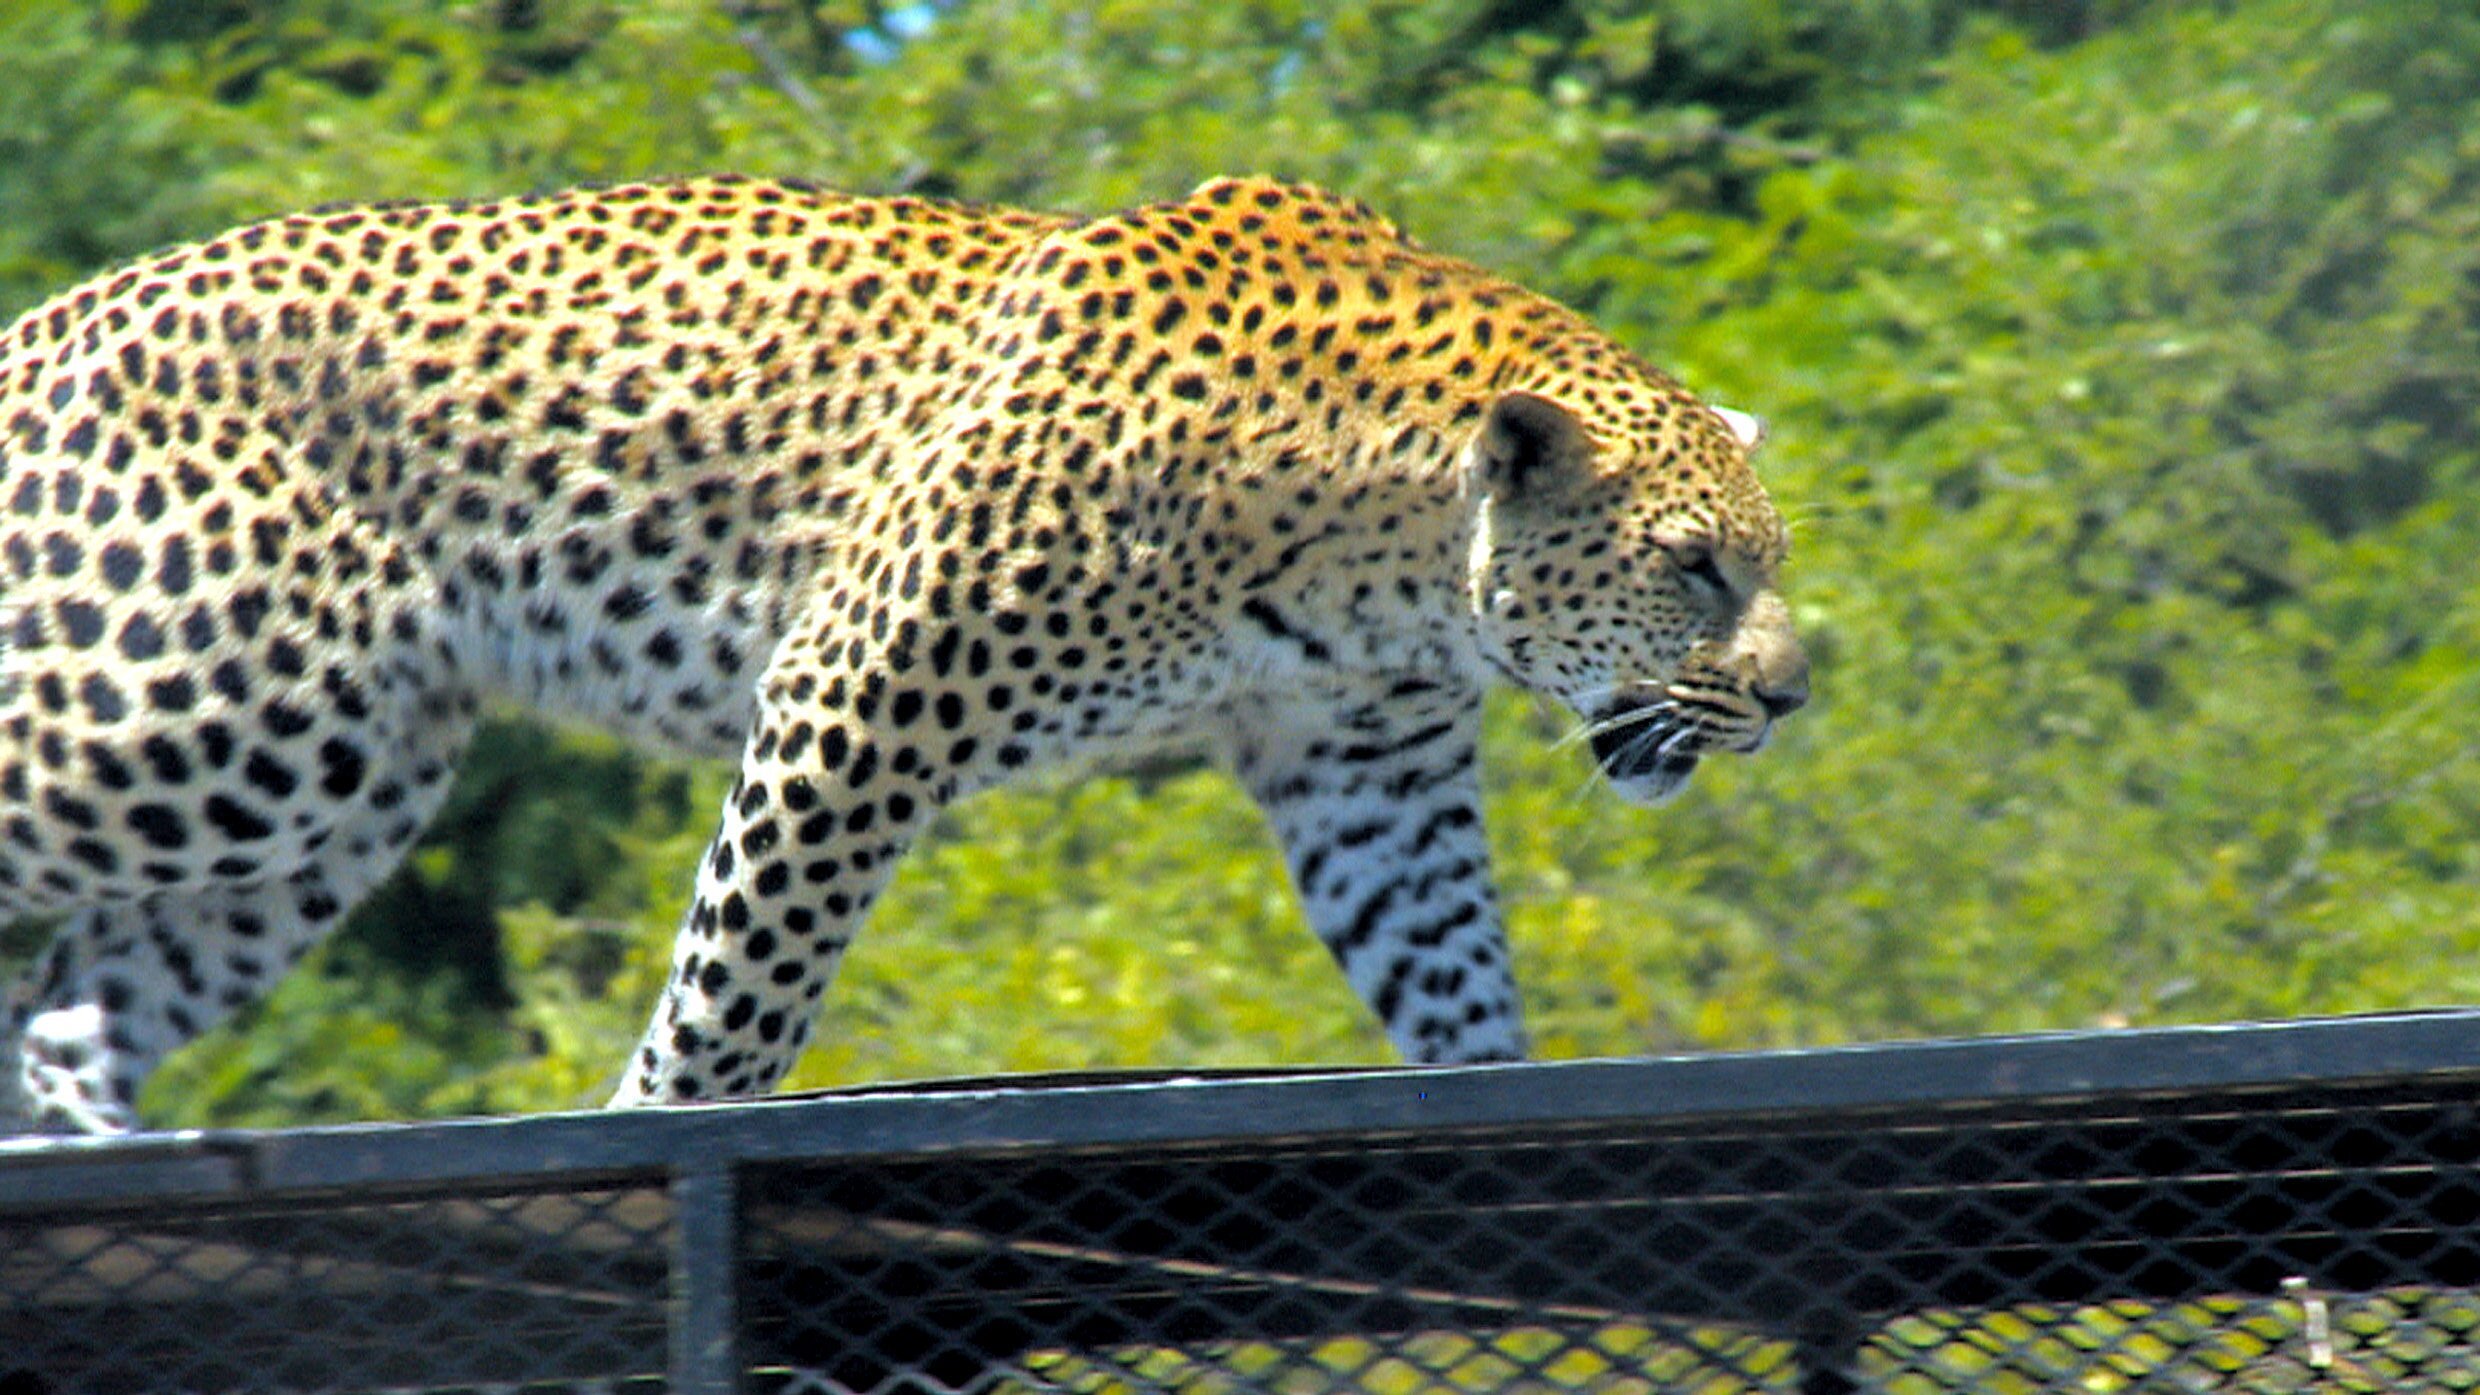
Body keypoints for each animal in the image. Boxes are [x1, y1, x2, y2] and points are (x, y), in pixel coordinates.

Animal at [0, 174, 1807, 1133]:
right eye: (1694, 567)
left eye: (1766, 562)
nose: (1790, 699)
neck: (1397, 552)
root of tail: (66, 310)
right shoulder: (858, 707)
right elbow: (742, 993)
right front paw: (652, 1139)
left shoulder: (1370, 772)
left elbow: (1456, 987)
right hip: (214, 714)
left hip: (329, 795)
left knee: (71, 1018)